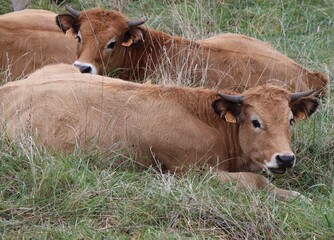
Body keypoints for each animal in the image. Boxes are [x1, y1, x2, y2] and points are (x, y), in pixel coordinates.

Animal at [0, 63, 320, 201]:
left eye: (290, 120)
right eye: (255, 122)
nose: (285, 158)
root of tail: (12, 90)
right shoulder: (190, 172)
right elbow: (255, 181)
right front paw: (294, 196)